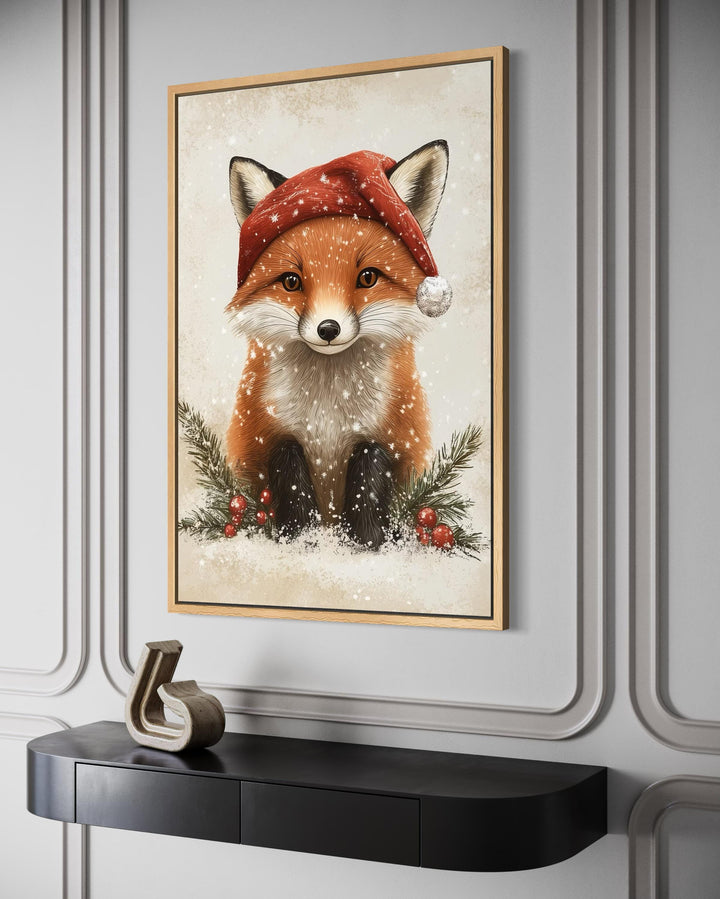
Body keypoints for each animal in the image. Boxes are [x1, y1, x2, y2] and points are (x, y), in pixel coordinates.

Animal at [224, 142, 450, 548]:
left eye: (368, 277)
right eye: (291, 281)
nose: (328, 329)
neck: (328, 413)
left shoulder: (392, 437)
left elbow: (368, 474)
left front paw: (367, 542)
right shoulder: (263, 437)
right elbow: (289, 471)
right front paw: (301, 538)